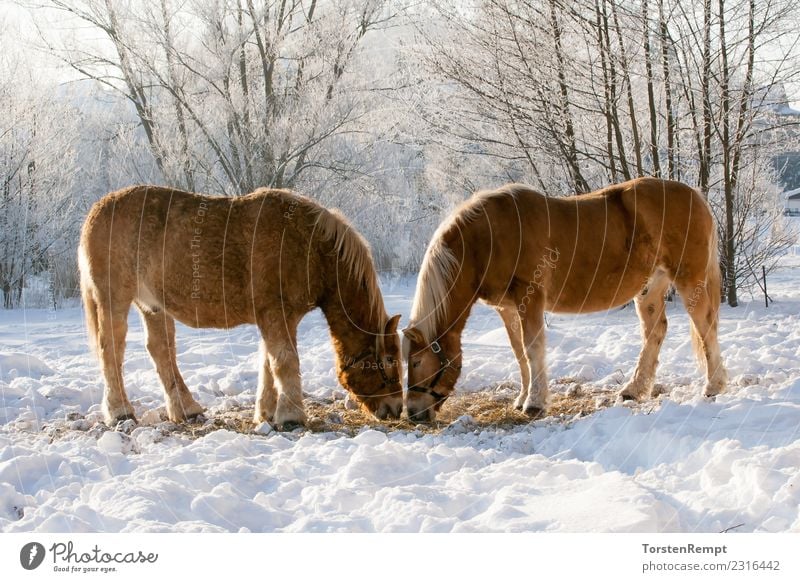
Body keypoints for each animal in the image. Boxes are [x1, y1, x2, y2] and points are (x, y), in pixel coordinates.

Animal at [79, 185, 404, 432]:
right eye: (388, 361)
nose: (396, 408)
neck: (310, 247)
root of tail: (96, 210)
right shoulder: (275, 314)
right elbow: (285, 361)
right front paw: (291, 416)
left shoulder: (279, 318)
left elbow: (269, 363)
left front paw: (267, 412)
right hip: (114, 300)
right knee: (112, 349)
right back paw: (120, 411)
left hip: (153, 307)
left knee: (161, 350)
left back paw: (186, 409)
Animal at [404, 178, 728, 424]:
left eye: (417, 361)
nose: (412, 413)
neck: (488, 239)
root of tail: (695, 195)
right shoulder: (507, 308)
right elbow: (519, 352)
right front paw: (521, 399)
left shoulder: (530, 298)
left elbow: (532, 349)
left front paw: (535, 404)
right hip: (650, 288)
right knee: (655, 332)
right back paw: (633, 389)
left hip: (690, 281)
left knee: (705, 328)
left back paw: (713, 387)